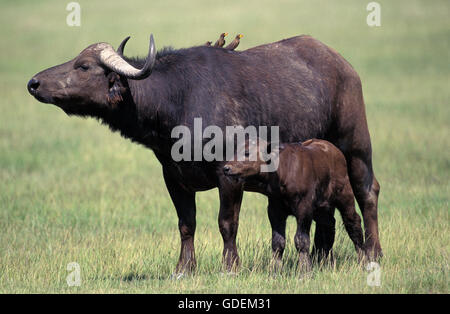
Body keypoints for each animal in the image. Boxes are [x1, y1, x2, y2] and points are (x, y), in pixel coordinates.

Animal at [26, 34, 382, 274]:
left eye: (84, 66)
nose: (34, 82)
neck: (178, 100)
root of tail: (344, 66)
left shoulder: (229, 176)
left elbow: (227, 222)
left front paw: (230, 265)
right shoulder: (173, 178)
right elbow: (187, 224)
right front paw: (184, 268)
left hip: (356, 147)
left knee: (368, 192)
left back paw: (373, 253)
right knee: (327, 214)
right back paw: (323, 258)